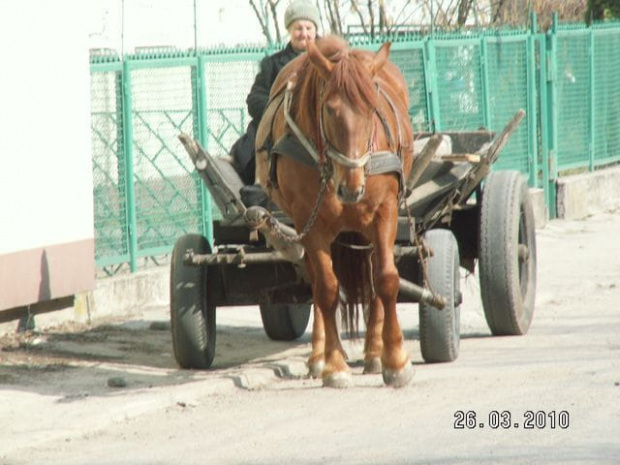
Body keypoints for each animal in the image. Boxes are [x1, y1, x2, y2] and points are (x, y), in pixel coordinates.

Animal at [254, 34, 414, 386]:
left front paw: (396, 360)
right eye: (329, 110)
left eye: (373, 108)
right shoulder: (309, 223)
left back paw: (374, 352)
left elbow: (386, 279)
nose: (352, 188)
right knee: (317, 283)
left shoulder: (384, 213)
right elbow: (327, 289)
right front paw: (334, 365)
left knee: (373, 279)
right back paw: (319, 356)